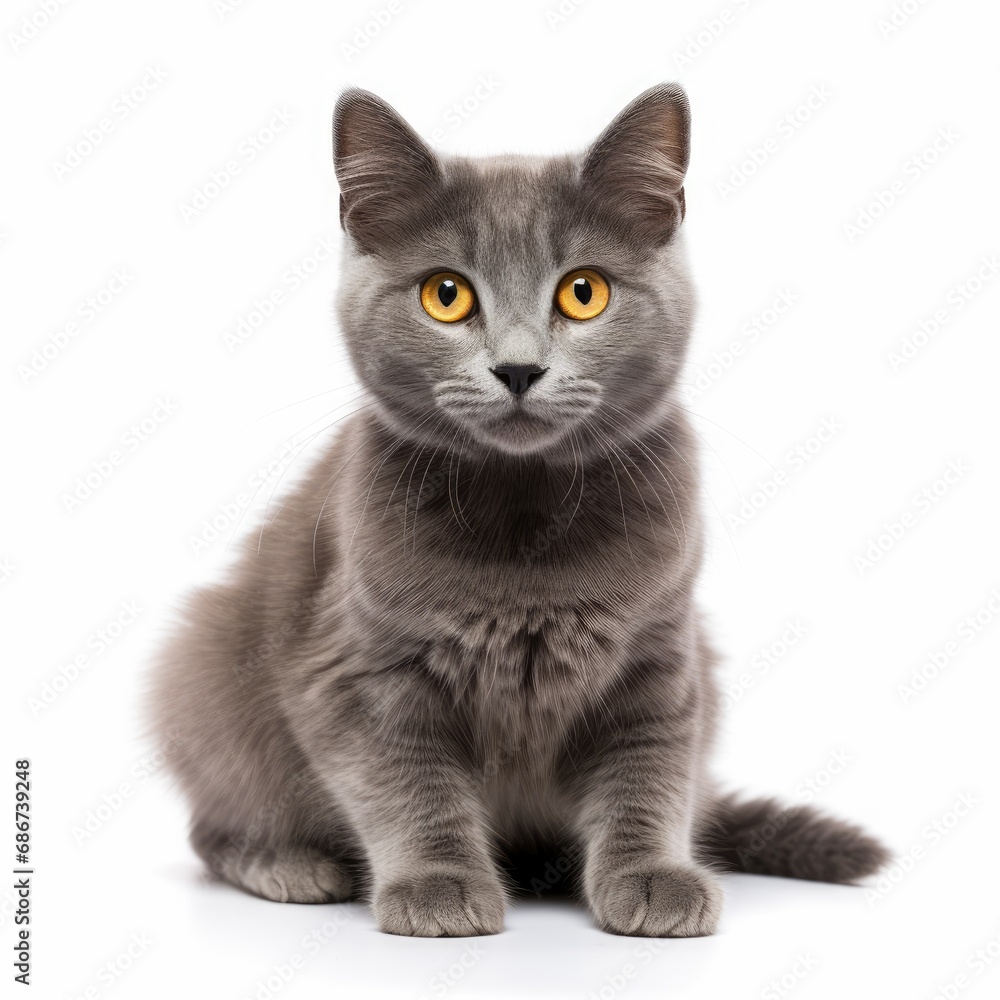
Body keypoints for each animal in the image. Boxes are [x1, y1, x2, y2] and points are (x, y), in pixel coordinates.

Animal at [152, 86, 888, 936]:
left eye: (584, 291)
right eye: (446, 295)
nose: (518, 368)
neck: (525, 516)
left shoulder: (659, 656)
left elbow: (648, 772)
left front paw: (652, 877)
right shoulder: (359, 670)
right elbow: (409, 782)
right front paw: (438, 886)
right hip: (204, 667)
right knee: (212, 827)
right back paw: (292, 865)